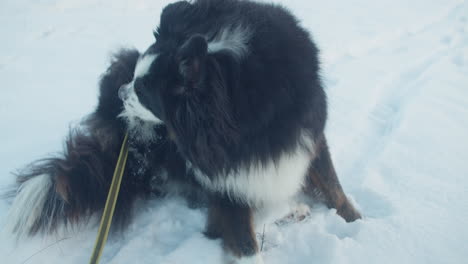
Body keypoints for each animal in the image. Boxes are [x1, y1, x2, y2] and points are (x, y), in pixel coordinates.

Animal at [4, 1, 362, 262]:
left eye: (144, 92)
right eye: (135, 81)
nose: (121, 93)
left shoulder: (305, 131)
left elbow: (332, 184)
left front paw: (358, 223)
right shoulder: (222, 169)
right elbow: (243, 237)